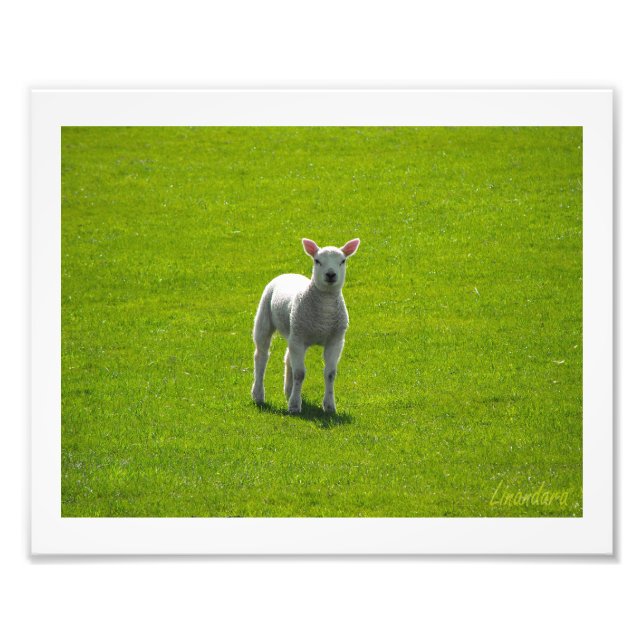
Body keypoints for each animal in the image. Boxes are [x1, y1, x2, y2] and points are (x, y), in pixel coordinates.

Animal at [251, 238, 361, 414]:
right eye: (317, 261)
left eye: (343, 261)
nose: (331, 274)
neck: (324, 312)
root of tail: (288, 273)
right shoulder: (299, 339)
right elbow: (299, 374)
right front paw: (295, 406)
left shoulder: (335, 340)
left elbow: (330, 373)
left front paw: (329, 406)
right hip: (265, 317)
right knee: (261, 356)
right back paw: (258, 395)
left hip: (294, 330)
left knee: (287, 357)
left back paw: (288, 391)